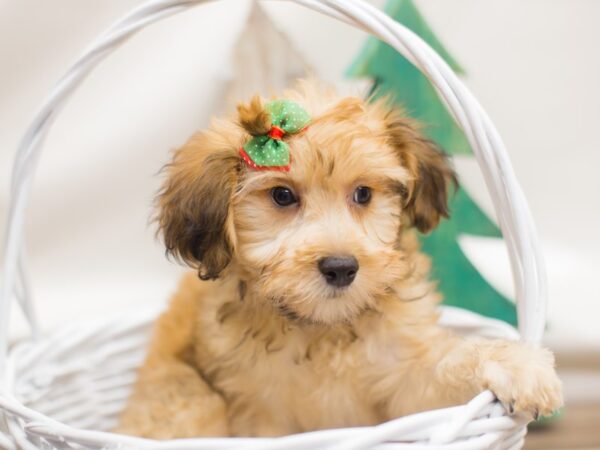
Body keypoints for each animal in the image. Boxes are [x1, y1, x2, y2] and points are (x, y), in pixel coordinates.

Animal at [118, 81, 564, 440]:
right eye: (282, 195)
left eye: (363, 194)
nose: (341, 268)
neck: (323, 331)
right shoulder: (259, 411)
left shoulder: (405, 378)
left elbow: (445, 367)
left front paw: (517, 364)